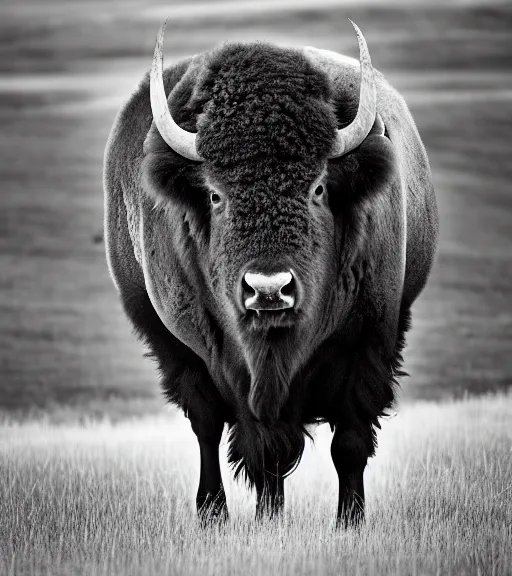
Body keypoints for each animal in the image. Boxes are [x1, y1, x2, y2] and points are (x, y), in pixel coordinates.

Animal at [103, 21, 436, 528]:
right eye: (215, 195)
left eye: (318, 187)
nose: (268, 289)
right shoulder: (223, 358)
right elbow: (259, 443)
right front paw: (266, 518)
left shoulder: (369, 343)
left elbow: (349, 443)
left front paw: (350, 522)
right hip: (168, 341)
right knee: (206, 428)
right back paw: (214, 512)